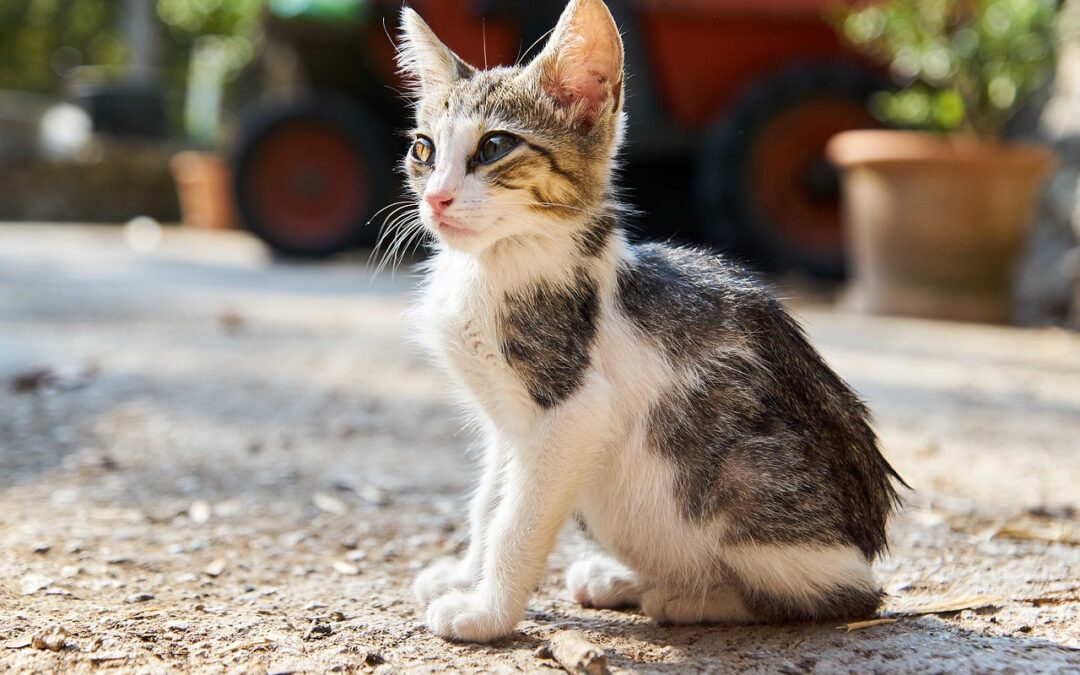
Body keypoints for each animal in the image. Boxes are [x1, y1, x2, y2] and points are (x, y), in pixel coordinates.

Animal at [397, 0, 902, 643]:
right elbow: (491, 501)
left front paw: (486, 612)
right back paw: (623, 579)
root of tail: (866, 543)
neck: (493, 264)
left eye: (493, 147)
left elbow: (518, 520)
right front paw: (466, 575)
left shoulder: (570, 413)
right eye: (423, 150)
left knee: (841, 597)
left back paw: (692, 598)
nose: (435, 199)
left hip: (742, 475)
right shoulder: (505, 421)